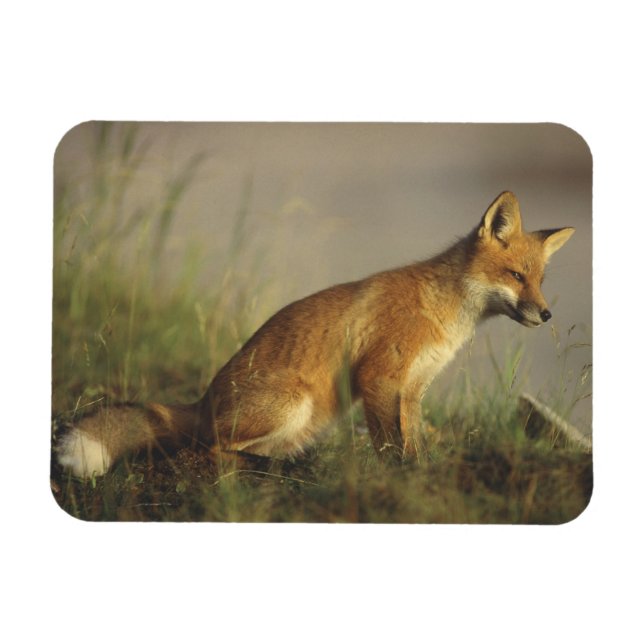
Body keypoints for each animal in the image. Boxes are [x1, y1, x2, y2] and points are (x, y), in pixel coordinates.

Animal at [55, 191, 575, 478]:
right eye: (515, 276)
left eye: (540, 280)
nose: (548, 314)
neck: (443, 313)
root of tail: (201, 402)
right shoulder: (378, 378)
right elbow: (390, 447)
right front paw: (399, 479)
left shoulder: (411, 390)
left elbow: (414, 443)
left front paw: (421, 472)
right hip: (292, 402)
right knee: (212, 451)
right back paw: (263, 468)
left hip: (307, 420)